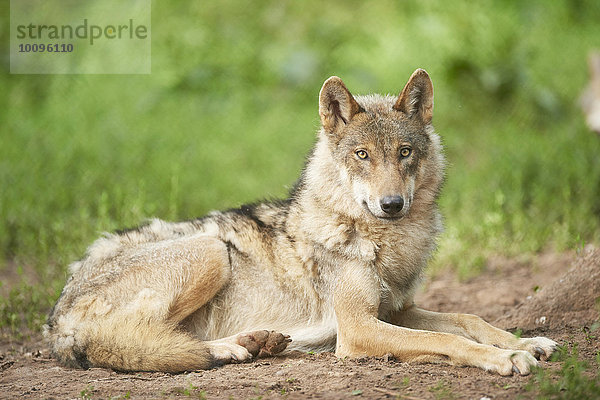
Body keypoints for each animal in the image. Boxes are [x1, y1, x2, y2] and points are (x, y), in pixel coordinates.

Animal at [44, 69, 556, 376]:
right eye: (362, 155)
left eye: (404, 153)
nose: (392, 204)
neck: (385, 241)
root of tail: (56, 319)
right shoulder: (358, 329)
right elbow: (448, 340)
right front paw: (507, 356)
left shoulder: (394, 310)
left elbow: (468, 318)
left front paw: (527, 341)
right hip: (211, 249)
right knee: (146, 345)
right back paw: (234, 349)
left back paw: (252, 344)